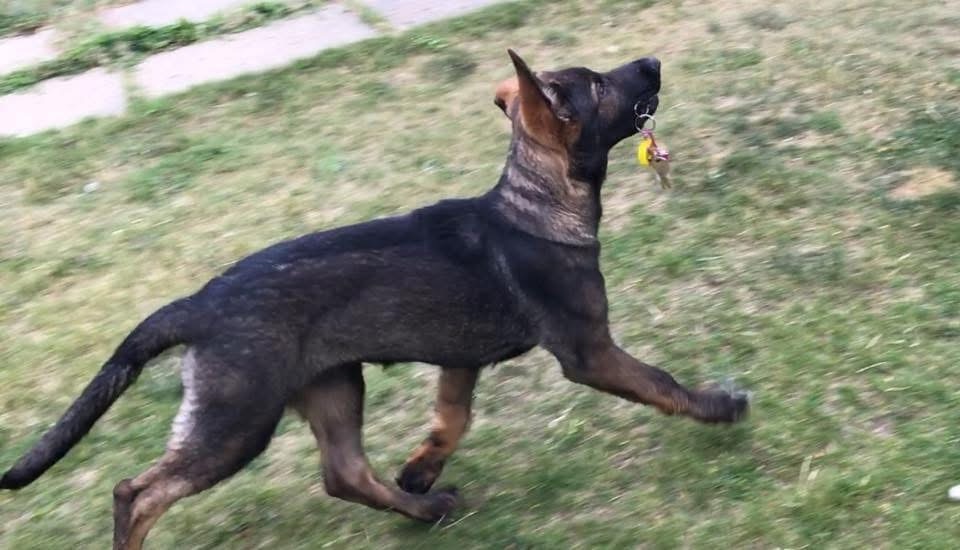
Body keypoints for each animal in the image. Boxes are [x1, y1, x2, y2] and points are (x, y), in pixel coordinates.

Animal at [1, 50, 748, 549]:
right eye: (599, 85)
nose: (652, 61)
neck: (533, 203)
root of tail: (198, 302)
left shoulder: (459, 359)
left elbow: (452, 418)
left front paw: (420, 470)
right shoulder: (587, 349)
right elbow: (661, 382)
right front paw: (717, 405)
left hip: (333, 383)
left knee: (344, 473)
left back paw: (424, 509)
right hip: (238, 418)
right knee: (139, 491)